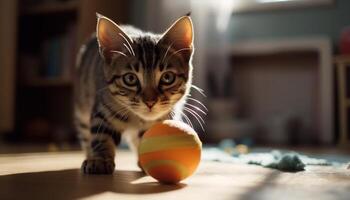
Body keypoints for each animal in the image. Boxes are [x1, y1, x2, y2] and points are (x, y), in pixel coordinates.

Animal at [74, 13, 194, 174]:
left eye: (167, 77)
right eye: (130, 78)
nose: (150, 101)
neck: (137, 119)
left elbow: (148, 140)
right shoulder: (103, 112)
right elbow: (101, 137)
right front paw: (100, 160)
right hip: (82, 109)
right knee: (86, 136)